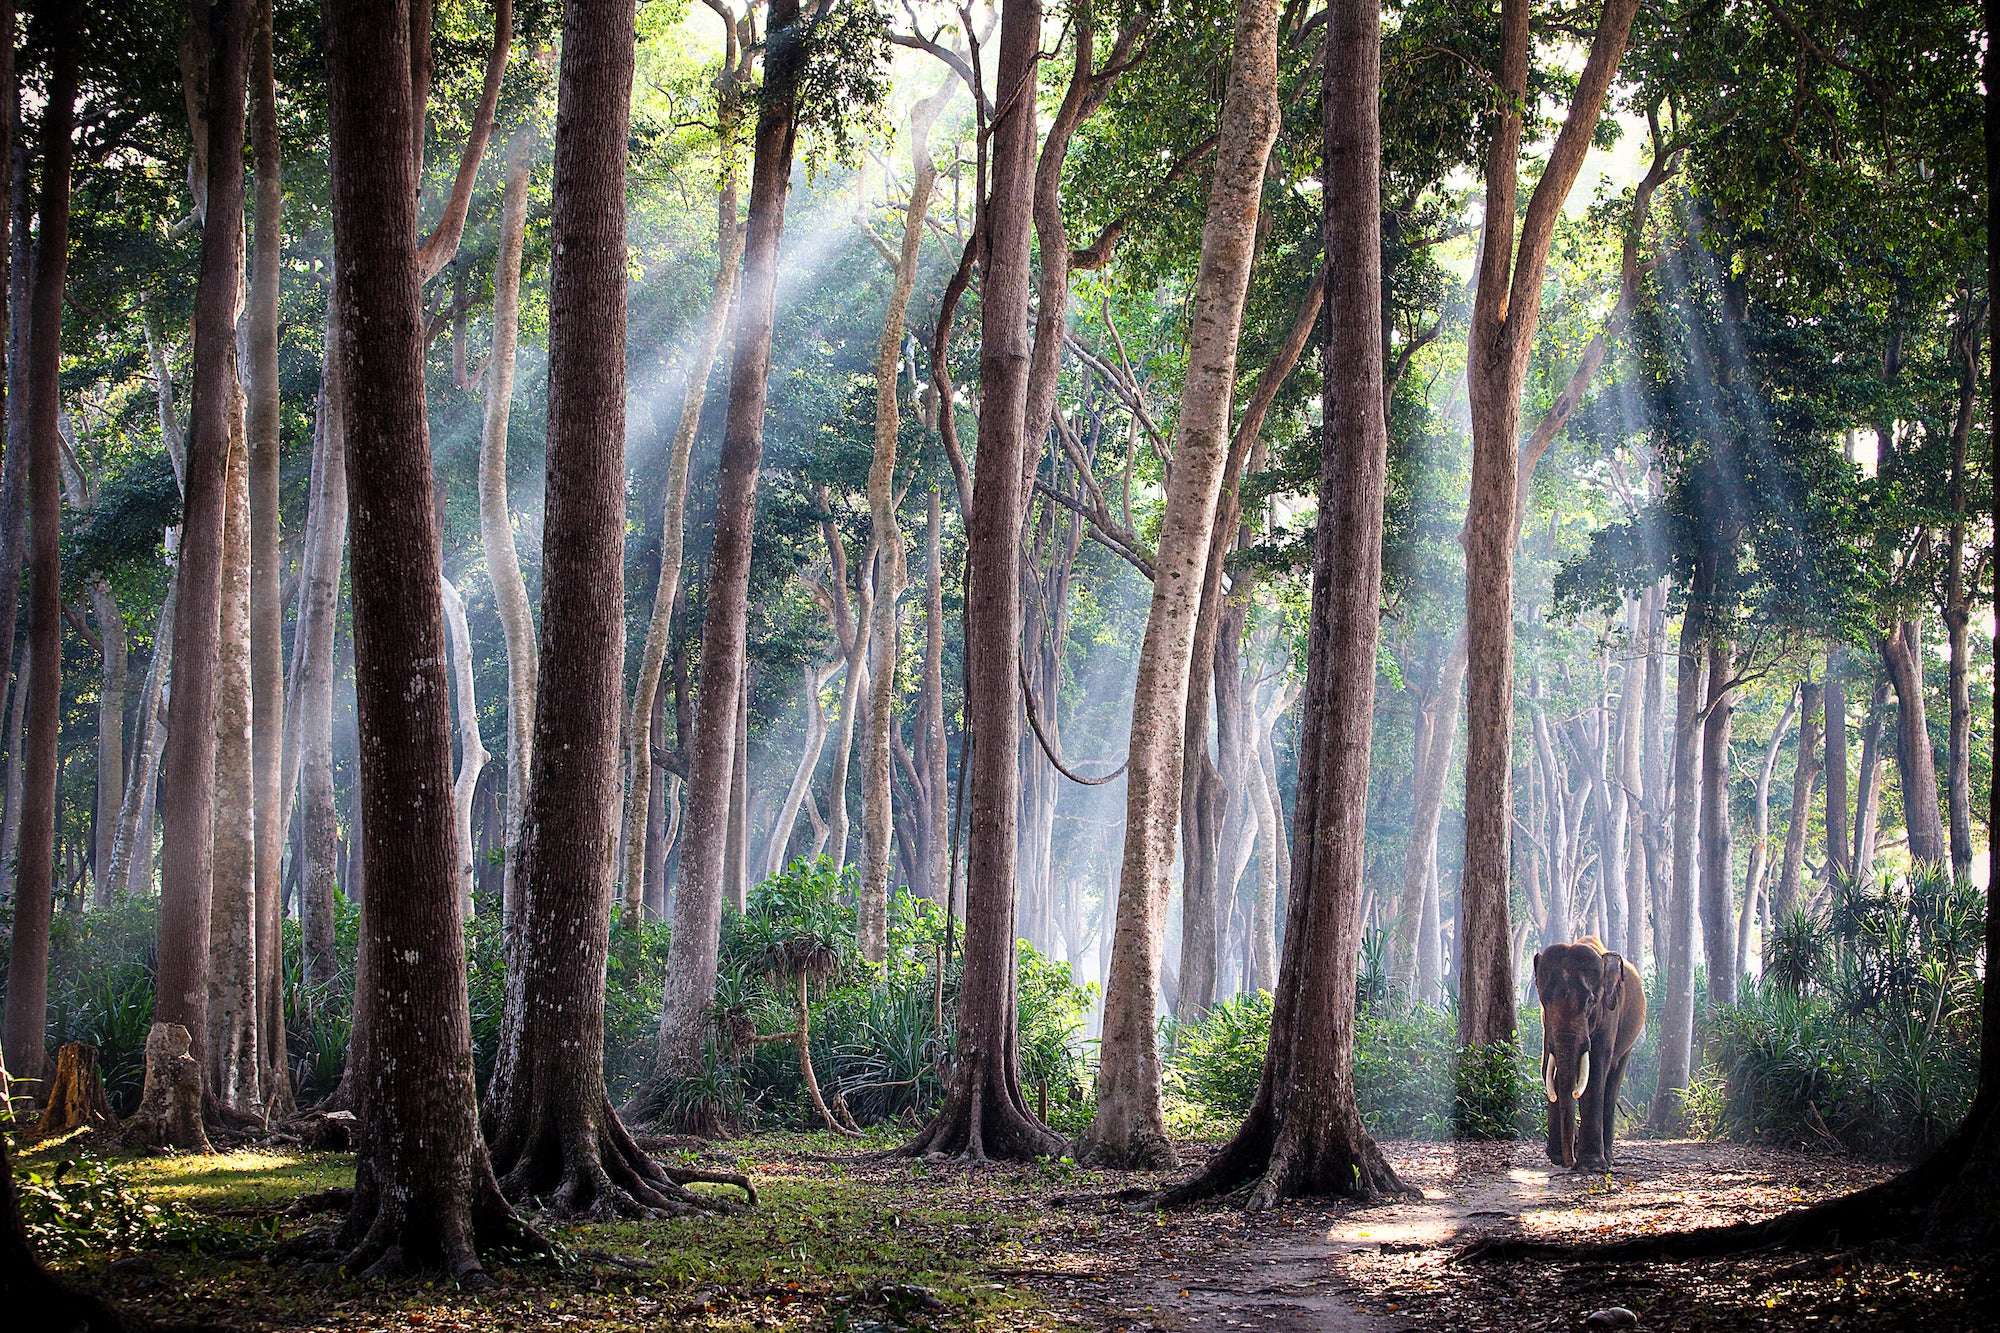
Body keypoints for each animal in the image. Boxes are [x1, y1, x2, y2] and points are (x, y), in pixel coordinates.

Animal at [1528, 928, 1640, 1168]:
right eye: (1544, 1001)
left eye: (1590, 1002)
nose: (1569, 1161)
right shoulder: (1546, 1024)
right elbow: (1549, 1068)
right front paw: (1557, 1157)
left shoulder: (1610, 1014)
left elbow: (1596, 1071)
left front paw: (1591, 1165)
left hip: (1628, 1043)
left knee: (1611, 1085)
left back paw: (1608, 1157)